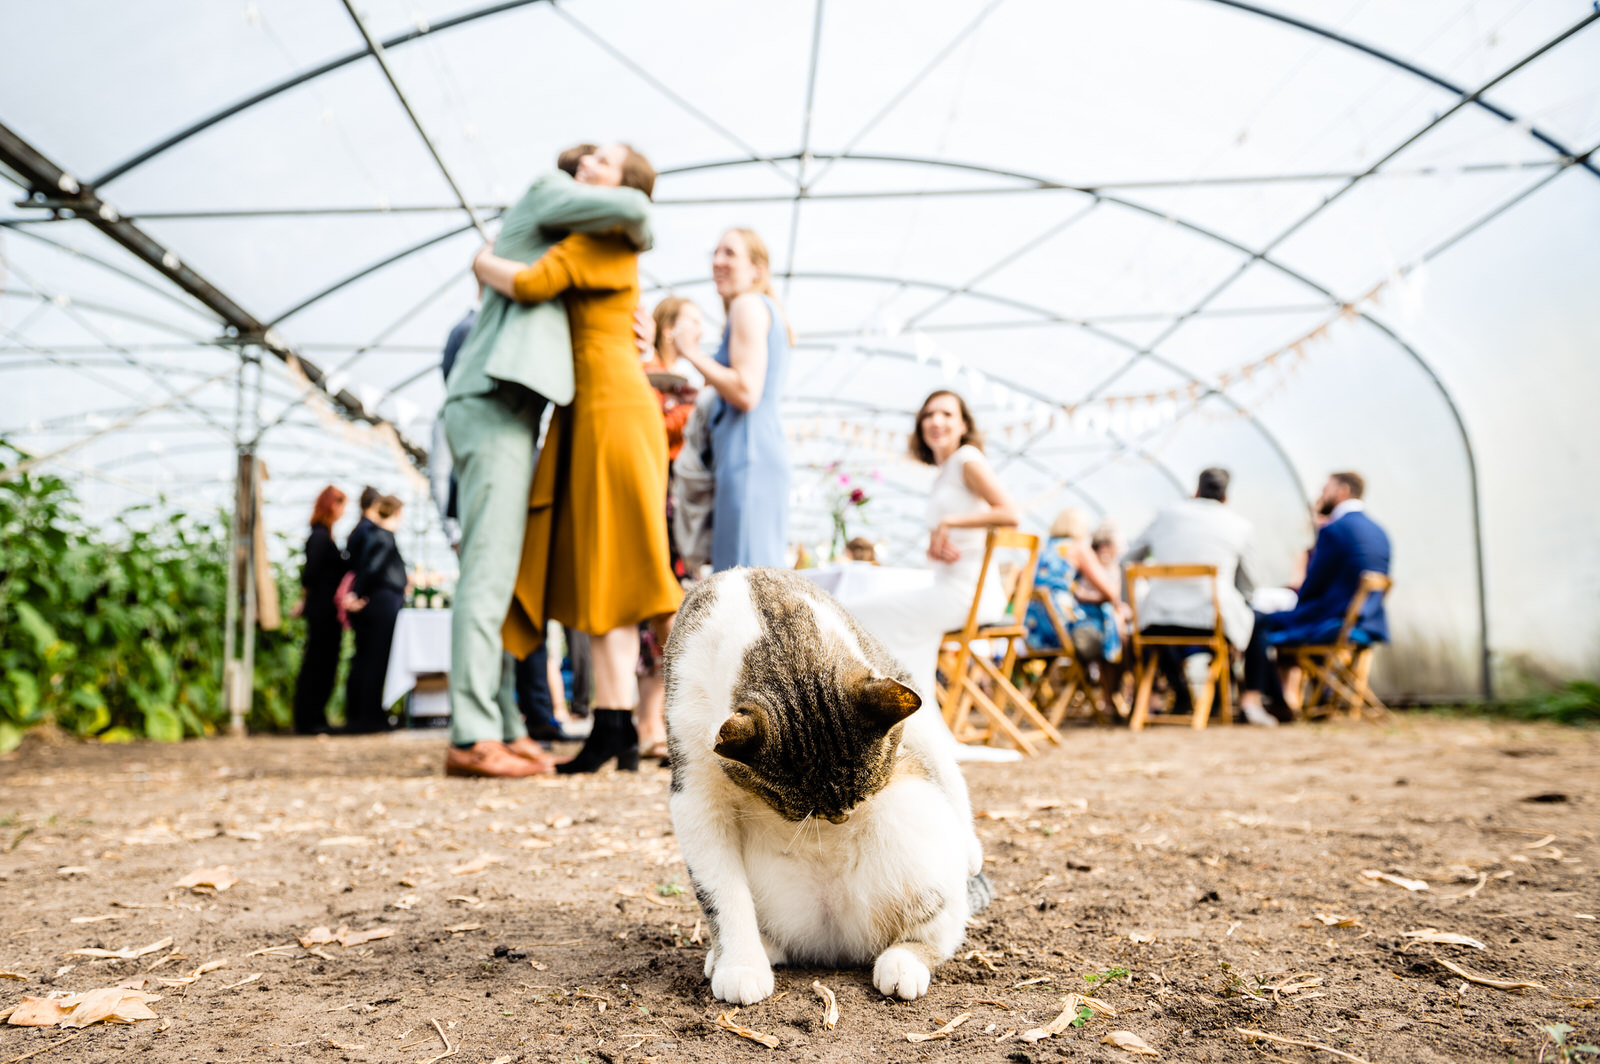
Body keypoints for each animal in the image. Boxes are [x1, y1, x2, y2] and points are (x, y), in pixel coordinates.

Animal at [662, 563, 985, 1004]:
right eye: (797, 810)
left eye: (864, 795)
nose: (840, 819)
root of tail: (836, 947)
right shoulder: (693, 783)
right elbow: (720, 893)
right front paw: (740, 965)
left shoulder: (892, 671)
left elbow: (939, 751)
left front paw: (972, 849)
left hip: (914, 822)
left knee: (941, 930)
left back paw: (905, 961)